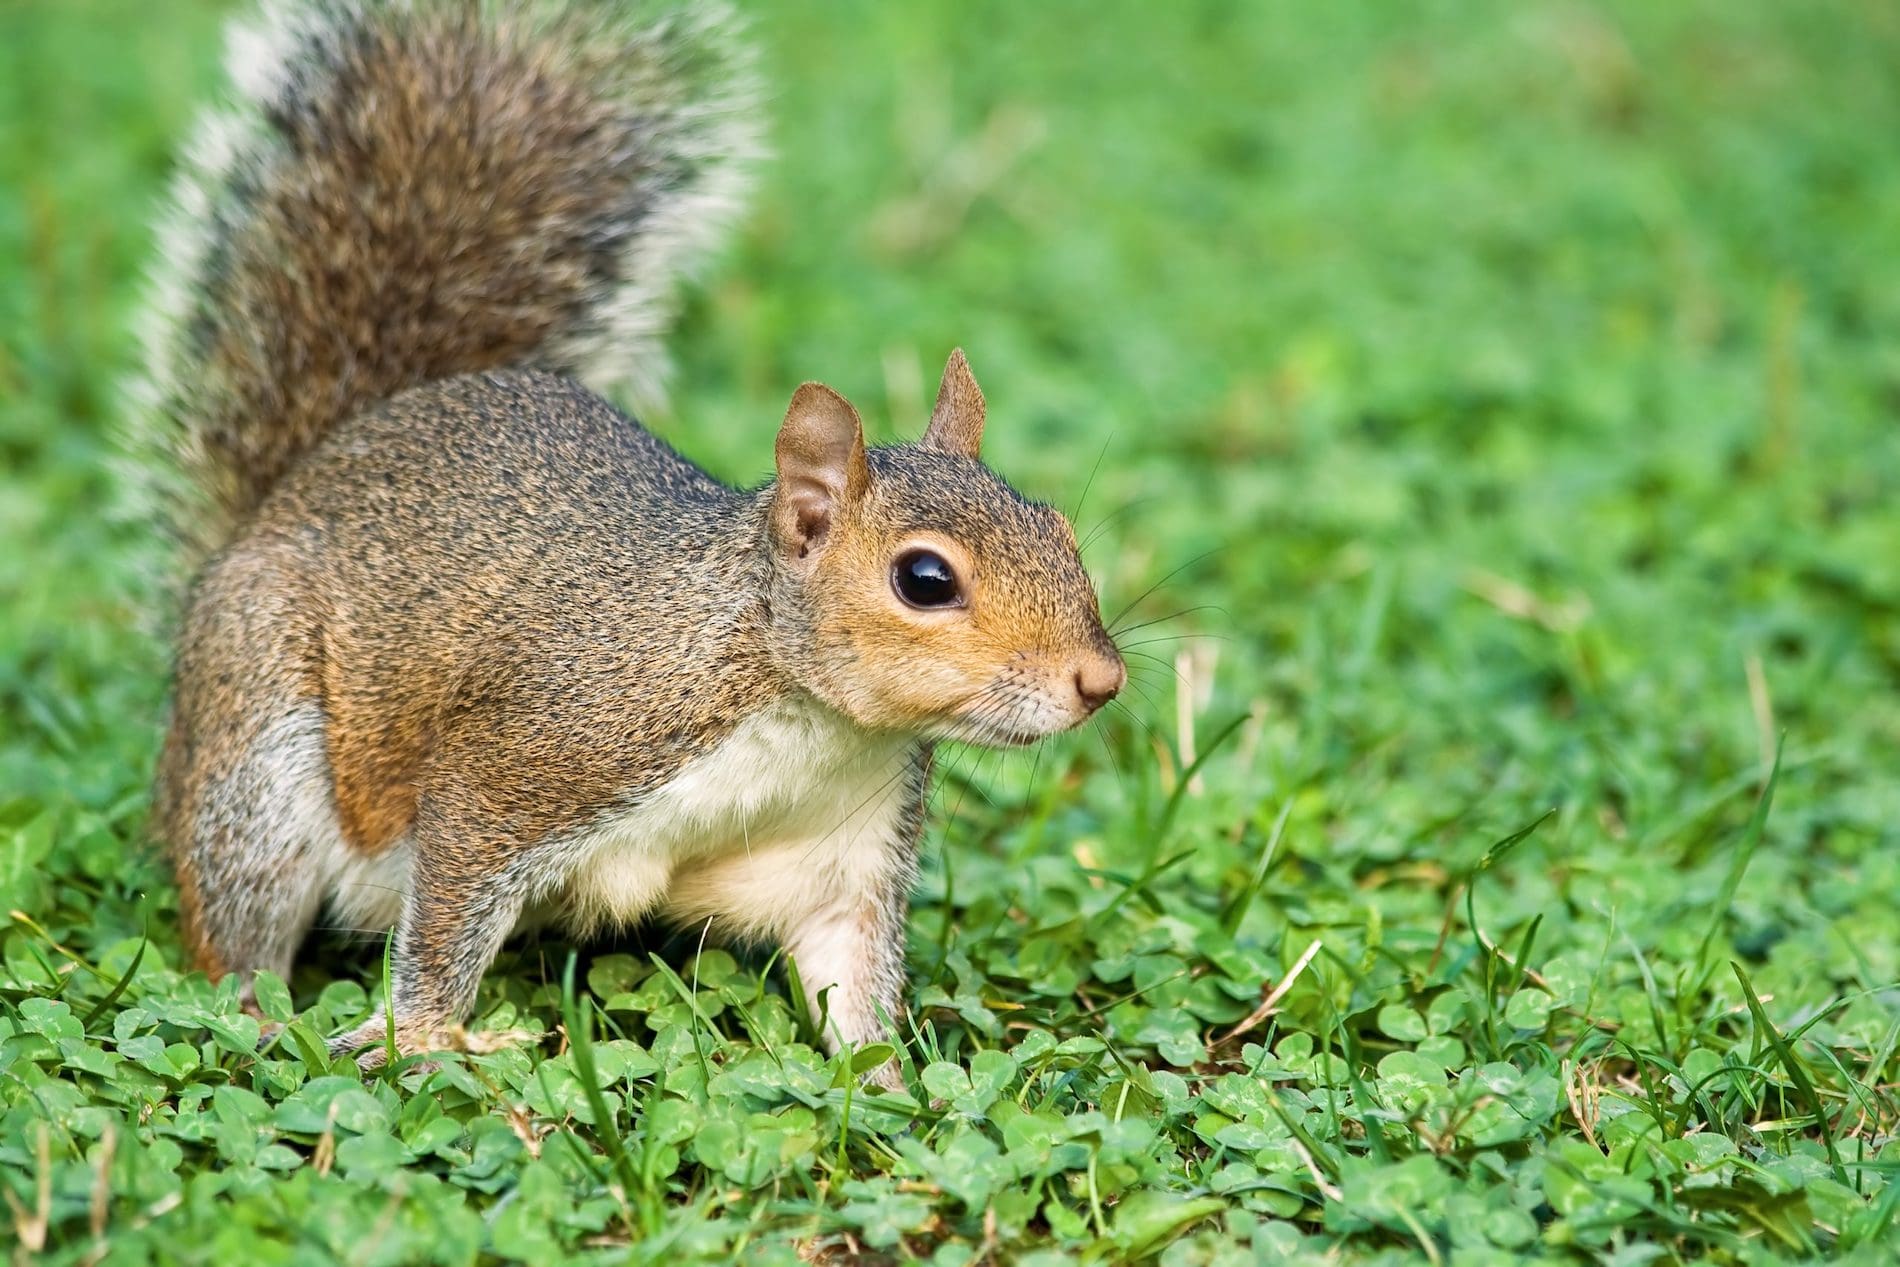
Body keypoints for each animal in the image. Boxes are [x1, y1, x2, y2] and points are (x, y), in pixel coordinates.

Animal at [133, 0, 1124, 1080]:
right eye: (926, 578)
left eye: (1060, 529)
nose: (1100, 680)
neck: (804, 715)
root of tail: (277, 502)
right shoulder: (528, 757)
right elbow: (446, 911)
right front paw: (428, 1035)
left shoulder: (844, 845)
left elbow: (851, 980)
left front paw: (897, 1086)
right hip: (258, 752)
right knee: (234, 924)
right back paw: (265, 1014)